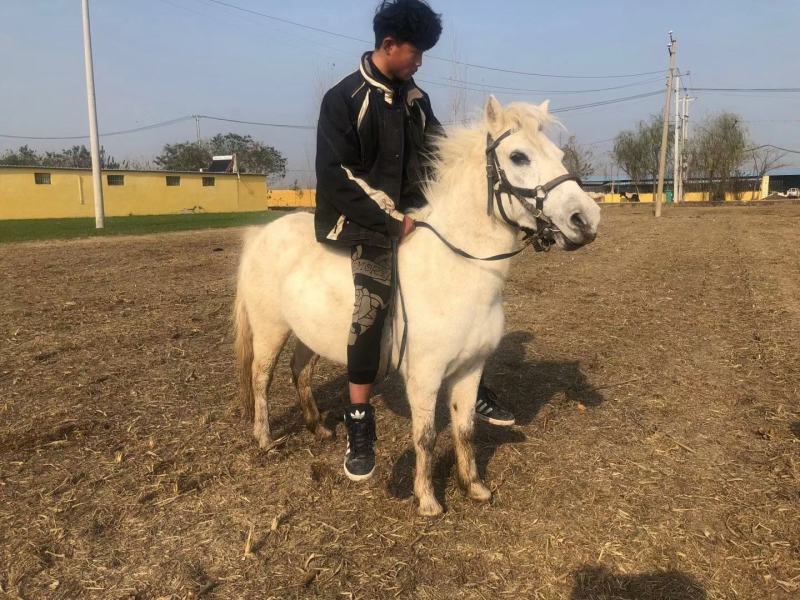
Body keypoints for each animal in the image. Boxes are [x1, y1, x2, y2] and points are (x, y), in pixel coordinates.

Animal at [233, 96, 601, 516]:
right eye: (518, 156)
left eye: (559, 154)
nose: (586, 219)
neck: (457, 268)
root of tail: (262, 233)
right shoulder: (424, 377)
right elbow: (424, 436)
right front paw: (427, 500)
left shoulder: (470, 370)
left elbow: (465, 429)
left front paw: (474, 487)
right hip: (270, 329)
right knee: (261, 378)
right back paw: (266, 439)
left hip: (308, 334)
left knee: (300, 372)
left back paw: (319, 428)